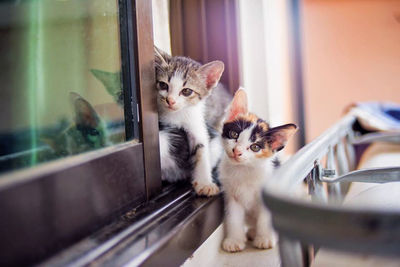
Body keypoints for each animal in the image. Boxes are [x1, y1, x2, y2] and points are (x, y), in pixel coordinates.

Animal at [153, 46, 230, 197]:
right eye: (163, 85)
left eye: (186, 91)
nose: (170, 101)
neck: (176, 116)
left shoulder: (196, 125)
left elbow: (201, 150)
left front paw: (205, 183)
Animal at [219, 90, 296, 253]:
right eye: (234, 135)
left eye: (255, 147)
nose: (237, 151)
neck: (245, 170)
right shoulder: (231, 194)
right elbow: (233, 217)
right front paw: (234, 240)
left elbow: (266, 217)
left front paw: (265, 238)